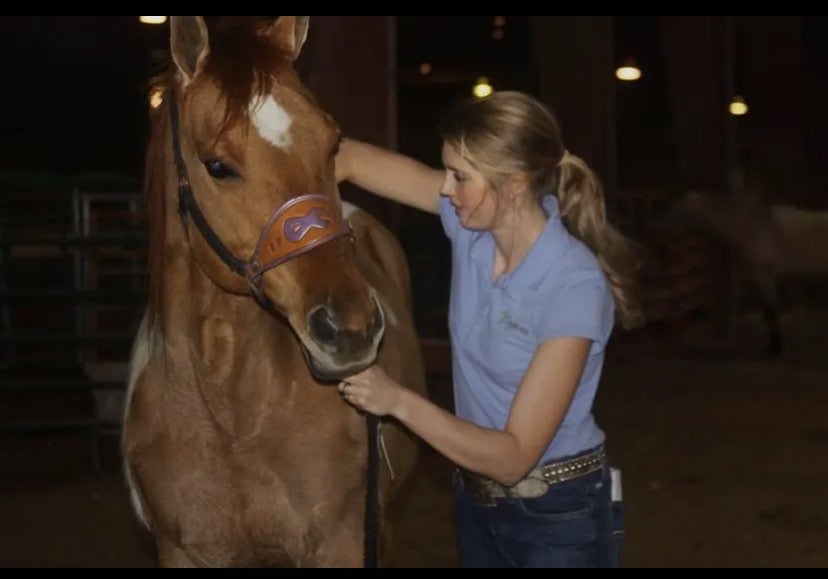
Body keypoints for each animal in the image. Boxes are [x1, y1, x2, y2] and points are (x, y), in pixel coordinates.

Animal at [121, 16, 427, 567]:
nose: (351, 328)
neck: (231, 419)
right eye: (218, 166)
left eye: (333, 144)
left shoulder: (342, 543)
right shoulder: (181, 551)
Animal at [657, 188, 828, 357]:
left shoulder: (764, 275)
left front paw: (774, 348)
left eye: (676, 213)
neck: (751, 225)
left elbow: (770, 312)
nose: (661, 246)